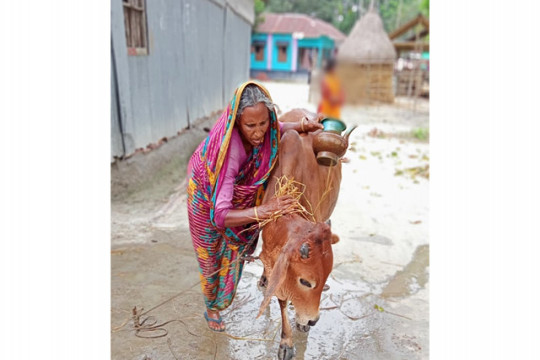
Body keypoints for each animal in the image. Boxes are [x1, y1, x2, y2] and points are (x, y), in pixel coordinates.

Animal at [258, 109, 346, 360]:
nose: (313, 321)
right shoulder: (273, 260)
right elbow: (280, 298)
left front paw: (300, 325)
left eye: (326, 276)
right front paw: (286, 343)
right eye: (305, 281)